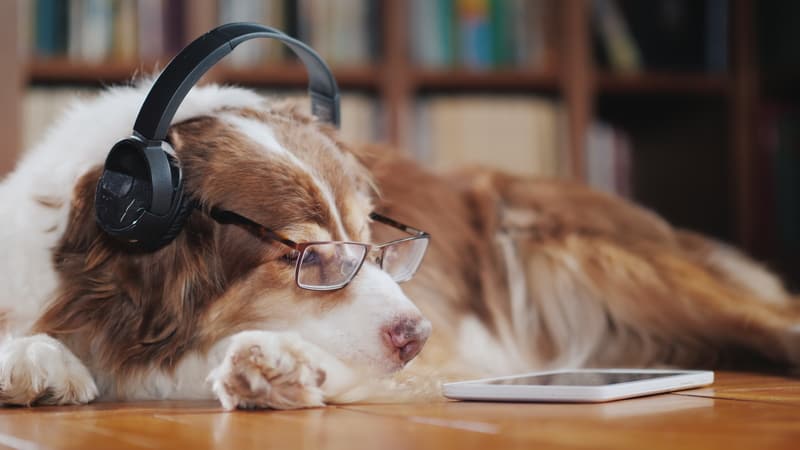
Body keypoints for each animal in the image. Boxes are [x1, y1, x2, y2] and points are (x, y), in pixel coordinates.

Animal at [1, 82, 800, 410]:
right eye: (304, 258)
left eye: (371, 237)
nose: (420, 335)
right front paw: (35, 359)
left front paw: (282, 365)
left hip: (599, 258)